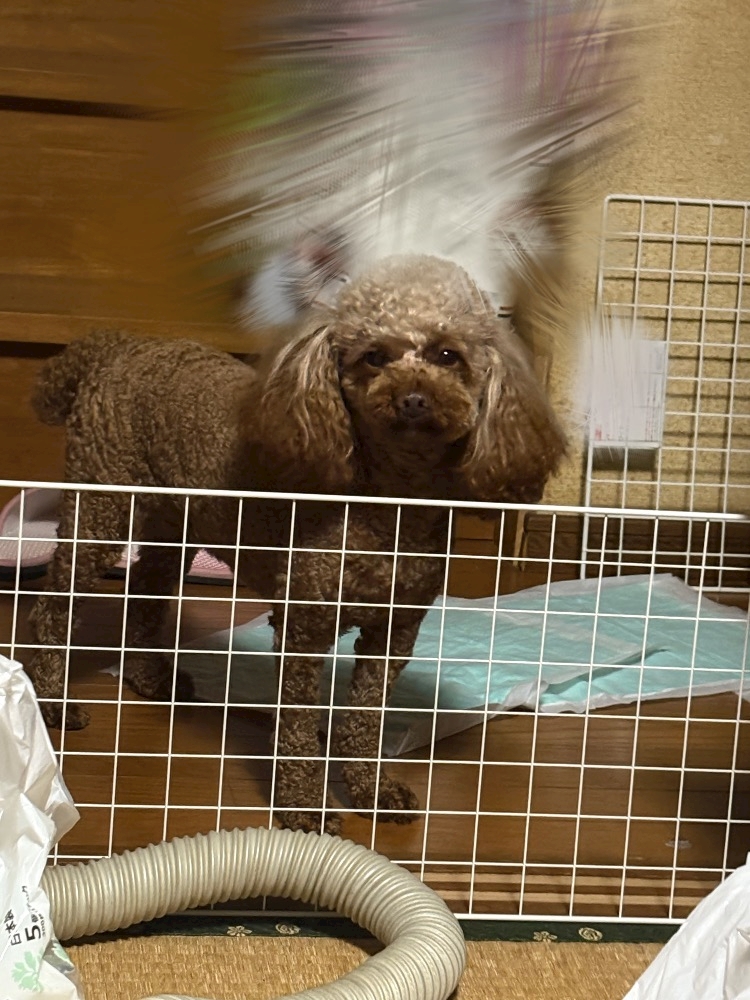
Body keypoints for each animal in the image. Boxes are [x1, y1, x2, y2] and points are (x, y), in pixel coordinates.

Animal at [27, 255, 566, 832]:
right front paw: (304, 804)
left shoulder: (395, 631)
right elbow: (299, 726)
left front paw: (372, 790)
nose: (414, 400)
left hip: (175, 524)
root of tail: (122, 343)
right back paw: (52, 699)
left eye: (449, 355)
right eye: (374, 357)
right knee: (52, 606)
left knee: (147, 593)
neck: (390, 501)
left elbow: (366, 720)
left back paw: (151, 679)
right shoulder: (305, 626)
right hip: (101, 508)